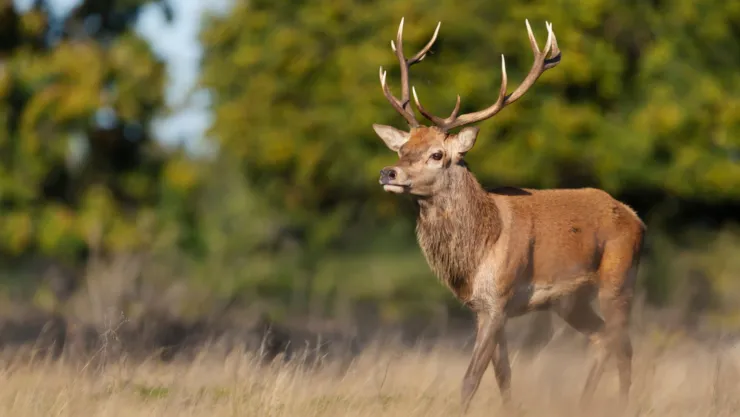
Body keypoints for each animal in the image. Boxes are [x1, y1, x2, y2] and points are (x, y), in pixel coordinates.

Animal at [372, 17, 646, 411]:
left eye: (437, 154)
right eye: (403, 149)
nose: (388, 173)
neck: (479, 249)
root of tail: (636, 218)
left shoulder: (500, 299)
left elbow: (471, 379)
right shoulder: (481, 307)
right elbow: (503, 375)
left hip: (619, 276)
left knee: (620, 342)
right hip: (570, 300)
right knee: (603, 339)